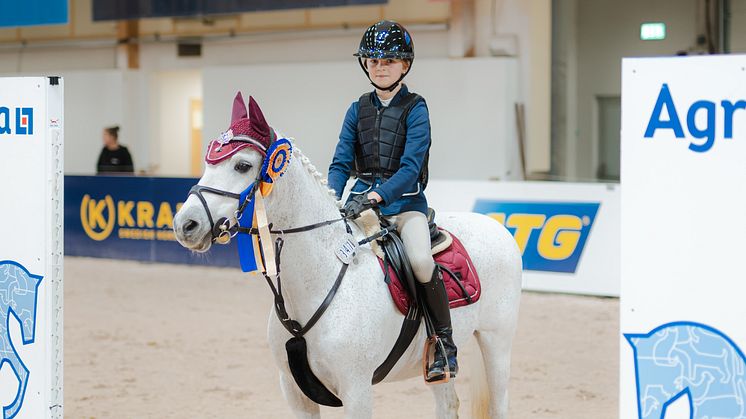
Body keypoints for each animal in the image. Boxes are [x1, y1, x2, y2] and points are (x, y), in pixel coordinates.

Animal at [171, 96, 520, 419]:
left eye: (242, 165)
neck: (319, 280)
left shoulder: (356, 391)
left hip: (497, 342)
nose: (185, 225)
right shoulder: (295, 392)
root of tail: (496, 226)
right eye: (208, 164)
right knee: (447, 404)